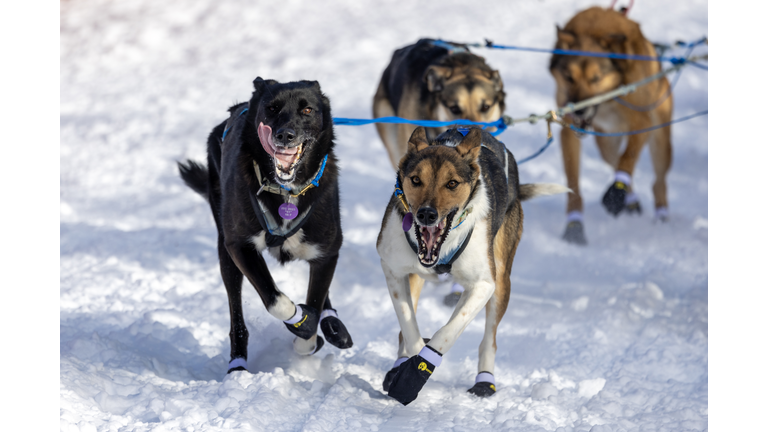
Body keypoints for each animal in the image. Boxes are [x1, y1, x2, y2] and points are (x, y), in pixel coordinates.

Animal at [178, 78, 352, 374]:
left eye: (307, 110)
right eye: (271, 108)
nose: (285, 135)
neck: (287, 192)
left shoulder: (327, 252)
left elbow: (316, 301)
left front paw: (311, 333)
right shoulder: (240, 247)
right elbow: (276, 301)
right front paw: (302, 321)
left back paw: (332, 324)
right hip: (226, 255)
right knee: (237, 316)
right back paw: (237, 365)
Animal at [376, 125, 568, 404]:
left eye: (452, 183)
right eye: (416, 180)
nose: (426, 214)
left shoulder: (483, 285)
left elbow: (447, 332)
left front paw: (417, 369)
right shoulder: (393, 268)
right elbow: (409, 326)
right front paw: (411, 362)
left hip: (501, 280)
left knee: (489, 339)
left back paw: (485, 381)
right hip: (416, 275)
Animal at [552, 6, 672, 245]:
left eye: (596, 78)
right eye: (569, 77)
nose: (578, 110)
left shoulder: (642, 122)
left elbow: (628, 159)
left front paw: (617, 193)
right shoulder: (568, 130)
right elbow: (573, 180)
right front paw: (574, 224)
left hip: (659, 139)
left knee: (658, 181)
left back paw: (661, 215)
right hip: (606, 143)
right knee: (613, 159)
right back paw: (632, 201)